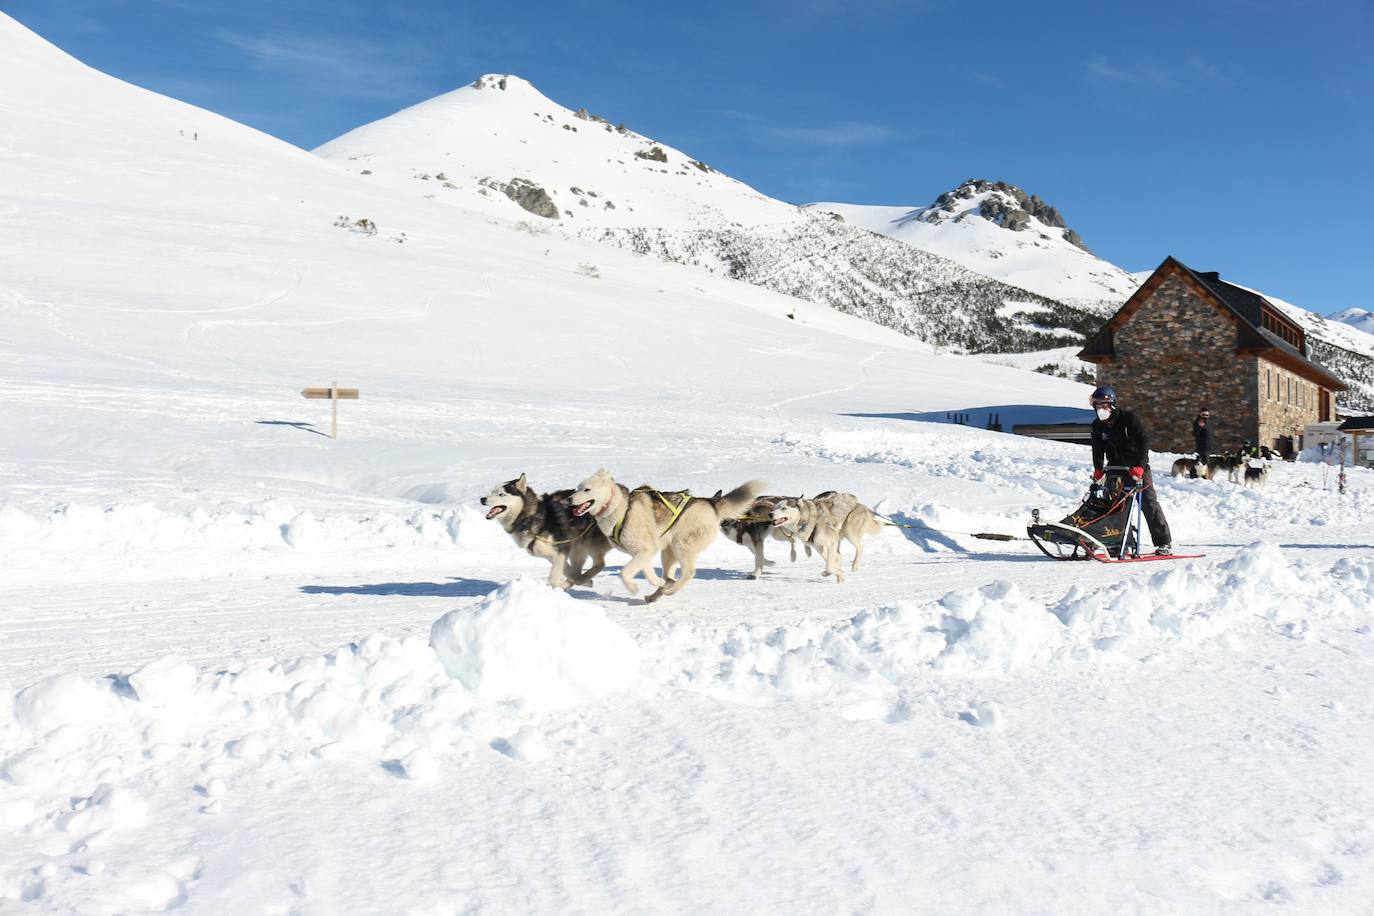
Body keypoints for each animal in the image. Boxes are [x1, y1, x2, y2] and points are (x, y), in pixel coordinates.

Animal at [483, 477, 612, 590]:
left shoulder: (561, 549)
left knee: (600, 564)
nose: (482, 499)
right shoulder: (553, 554)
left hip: (591, 545)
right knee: (579, 567)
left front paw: (564, 585)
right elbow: (570, 572)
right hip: (578, 549)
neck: (530, 517)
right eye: (492, 491)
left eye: (501, 494)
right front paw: (583, 581)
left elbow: (553, 579)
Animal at [566, 469, 769, 604]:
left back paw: (671, 590)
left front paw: (633, 588)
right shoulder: (642, 553)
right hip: (668, 552)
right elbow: (647, 572)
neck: (619, 508)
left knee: (688, 573)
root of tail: (711, 503)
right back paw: (659, 591)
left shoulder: (644, 550)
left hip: (682, 546)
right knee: (670, 576)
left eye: (586, 490)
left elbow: (624, 573)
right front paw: (657, 582)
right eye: (577, 488)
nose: (568, 499)